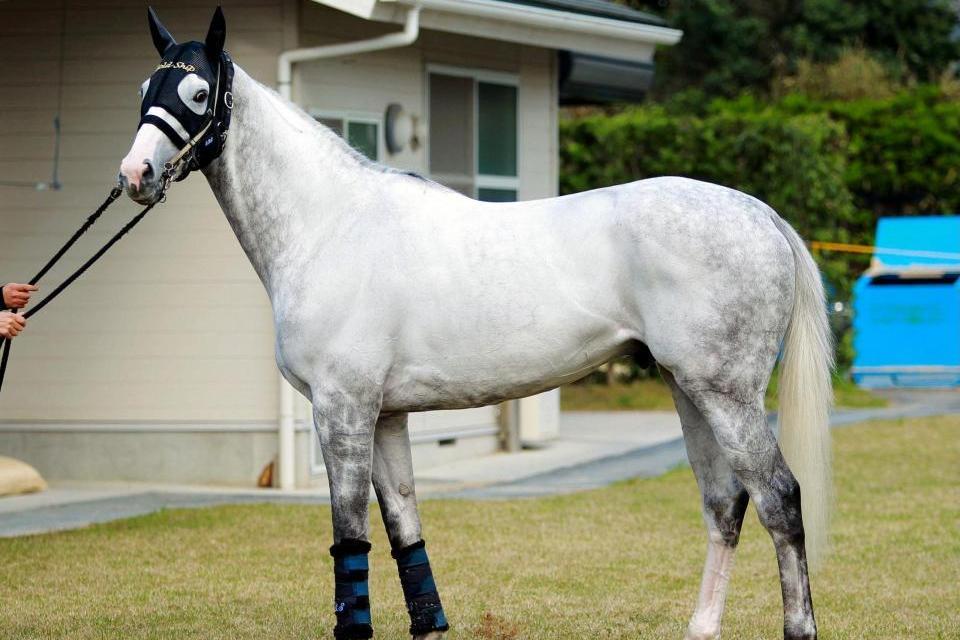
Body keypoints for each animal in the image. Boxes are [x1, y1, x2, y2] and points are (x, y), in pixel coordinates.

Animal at [119, 8, 833, 640]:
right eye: (145, 90)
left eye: (198, 92)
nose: (135, 174)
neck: (329, 224)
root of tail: (759, 212)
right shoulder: (385, 416)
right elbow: (405, 528)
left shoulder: (342, 409)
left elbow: (350, 536)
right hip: (688, 389)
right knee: (725, 504)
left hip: (727, 396)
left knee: (779, 499)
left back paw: (798, 627)